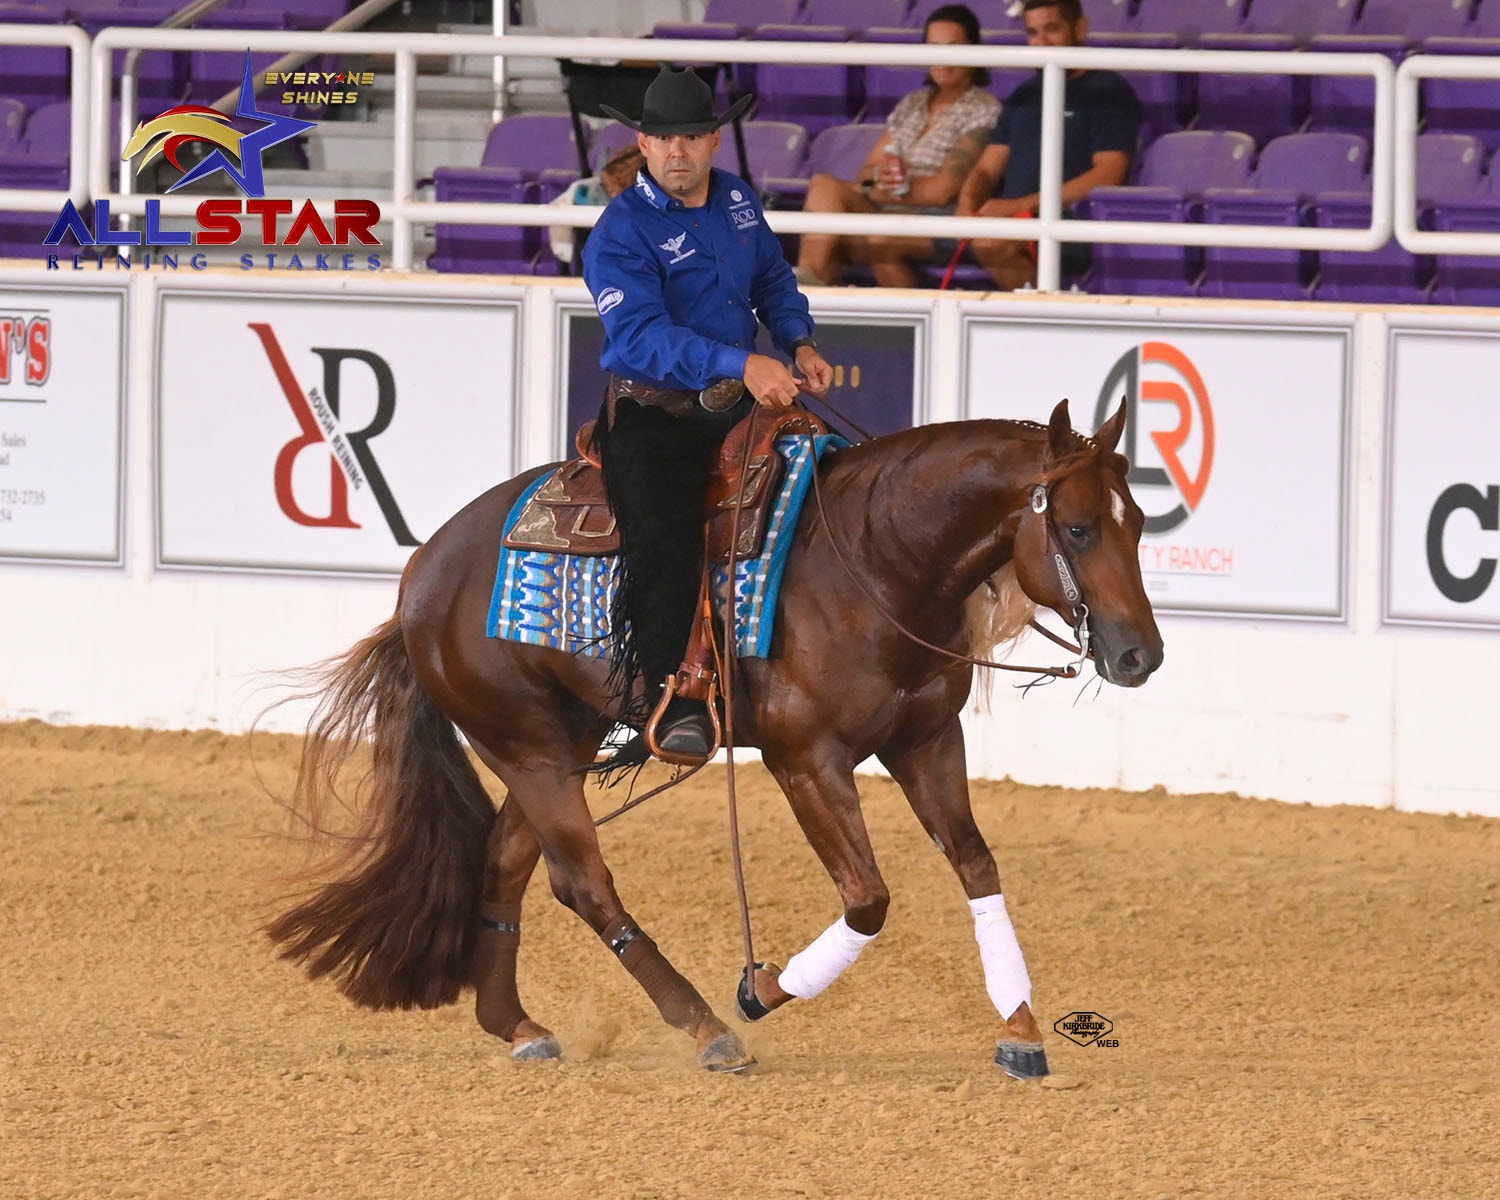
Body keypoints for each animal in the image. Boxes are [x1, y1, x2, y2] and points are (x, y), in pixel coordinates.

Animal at [265, 396, 1163, 1076]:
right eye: (1078, 529)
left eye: (1140, 524)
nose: (1140, 655)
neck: (876, 561)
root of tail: (423, 572)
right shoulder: (806, 760)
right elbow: (868, 900)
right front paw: (760, 989)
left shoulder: (928, 743)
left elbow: (977, 867)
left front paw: (1021, 1028)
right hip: (526, 747)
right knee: (583, 880)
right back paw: (704, 1026)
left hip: (557, 742)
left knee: (510, 863)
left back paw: (518, 1026)